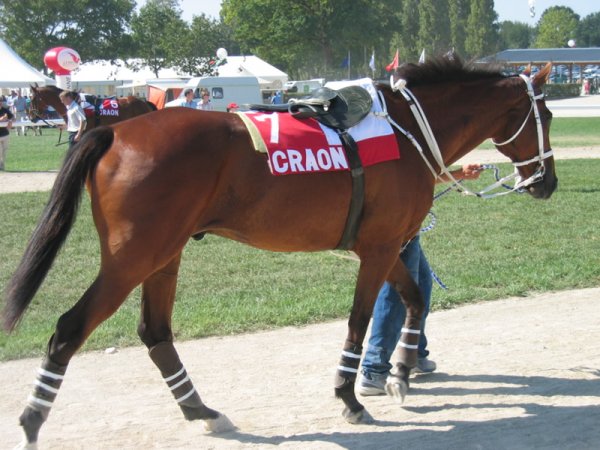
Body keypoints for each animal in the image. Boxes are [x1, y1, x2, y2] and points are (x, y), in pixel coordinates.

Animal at [4, 57, 556, 446]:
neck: (408, 130)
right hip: (132, 259)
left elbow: (415, 300)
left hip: (163, 256)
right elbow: (360, 320)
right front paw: (349, 396)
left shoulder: (386, 245)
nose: (547, 181)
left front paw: (400, 372)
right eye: (546, 114)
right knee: (70, 329)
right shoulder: (378, 249)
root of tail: (114, 130)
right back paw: (32, 420)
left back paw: (201, 411)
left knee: (155, 334)